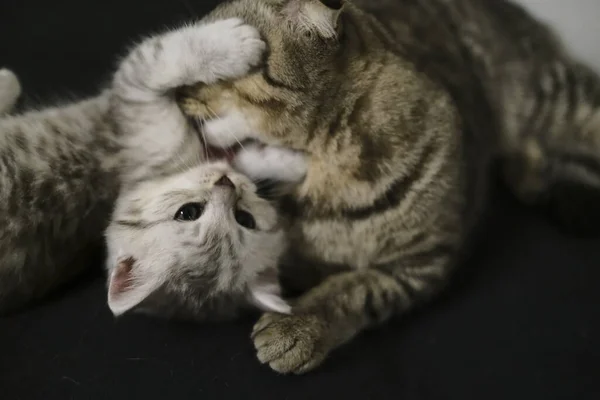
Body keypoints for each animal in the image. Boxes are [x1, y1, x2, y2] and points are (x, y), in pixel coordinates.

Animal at [180, 0, 600, 376]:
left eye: (221, 55)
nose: (175, 91)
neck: (323, 168)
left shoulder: (421, 261)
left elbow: (352, 288)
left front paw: (296, 324)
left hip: (562, 105)